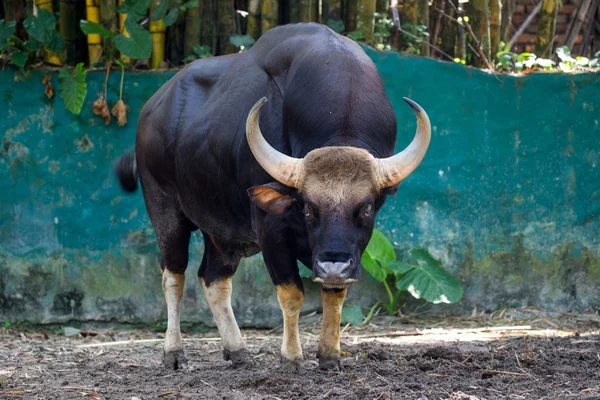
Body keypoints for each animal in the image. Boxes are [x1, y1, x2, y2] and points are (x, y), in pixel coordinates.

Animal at [113, 22, 432, 372]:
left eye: (365, 208)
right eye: (307, 208)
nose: (333, 265)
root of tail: (152, 109)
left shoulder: (346, 249)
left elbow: (335, 294)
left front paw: (330, 355)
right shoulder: (271, 228)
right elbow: (292, 292)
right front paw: (291, 357)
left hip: (223, 231)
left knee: (214, 279)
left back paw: (237, 350)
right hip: (165, 209)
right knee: (173, 275)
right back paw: (174, 352)